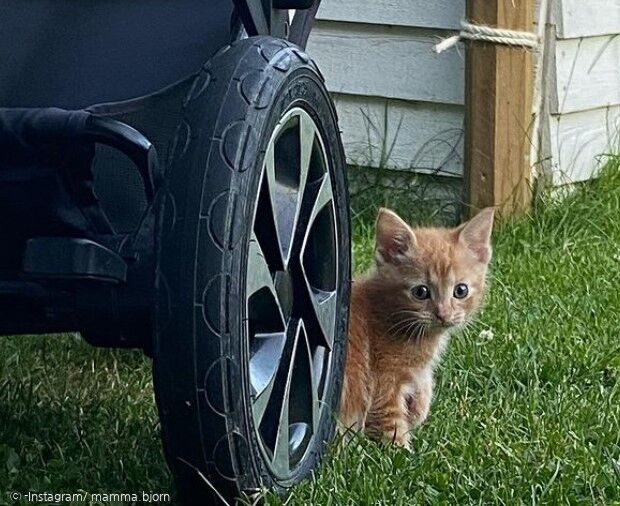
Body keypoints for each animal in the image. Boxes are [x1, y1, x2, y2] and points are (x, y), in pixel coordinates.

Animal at [340, 208, 494, 448]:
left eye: (461, 290)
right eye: (420, 292)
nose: (443, 314)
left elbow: (422, 392)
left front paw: (419, 407)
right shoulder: (384, 379)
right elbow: (390, 420)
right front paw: (401, 450)